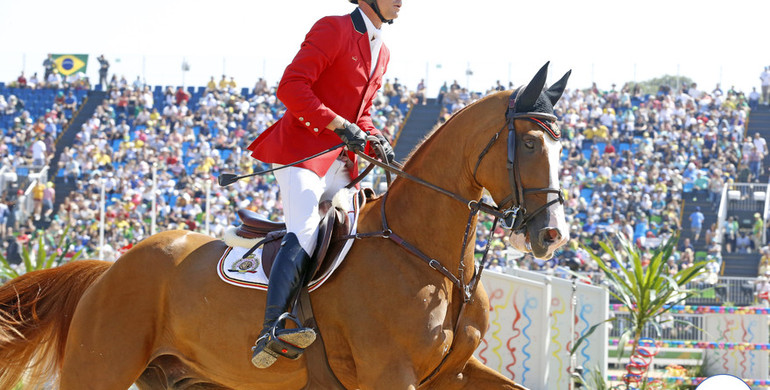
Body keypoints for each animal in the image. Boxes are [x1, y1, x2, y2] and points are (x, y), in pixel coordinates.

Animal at [0, 62, 568, 388]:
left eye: (564, 146)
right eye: (531, 143)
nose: (552, 234)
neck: (430, 258)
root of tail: (109, 269)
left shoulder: (454, 374)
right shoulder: (391, 374)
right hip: (99, 367)